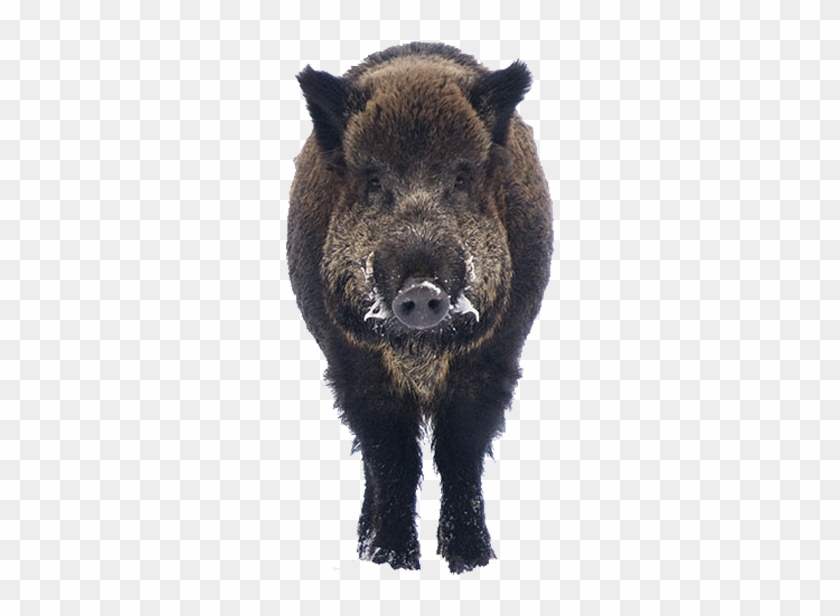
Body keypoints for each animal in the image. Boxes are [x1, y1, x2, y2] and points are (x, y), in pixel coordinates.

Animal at [287, 42, 553, 573]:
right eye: (373, 181)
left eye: (460, 177)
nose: (421, 289)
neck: (421, 352)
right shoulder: (354, 365)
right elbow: (392, 458)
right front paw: (391, 562)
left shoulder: (492, 359)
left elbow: (460, 452)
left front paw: (470, 561)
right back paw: (364, 544)